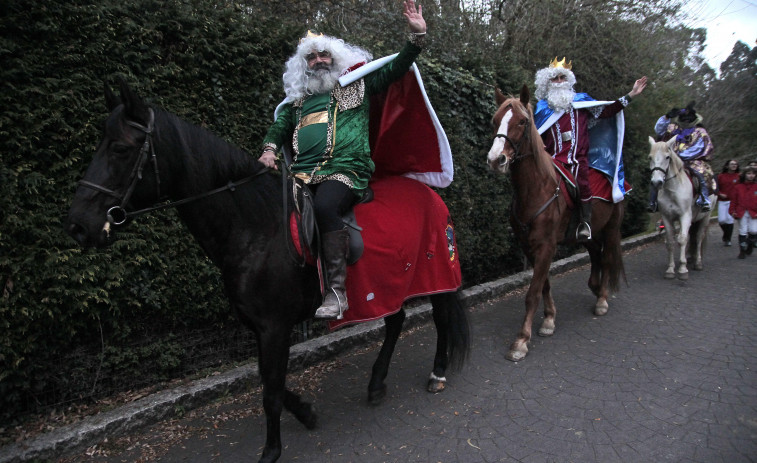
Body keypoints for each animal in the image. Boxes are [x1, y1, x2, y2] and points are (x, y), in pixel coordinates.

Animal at [66, 80, 466, 463]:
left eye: (120, 148)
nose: (80, 225)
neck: (255, 227)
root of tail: (429, 193)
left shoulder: (275, 326)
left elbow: (270, 390)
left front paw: (271, 450)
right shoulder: (259, 326)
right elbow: (267, 379)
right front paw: (305, 412)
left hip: (435, 273)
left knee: (441, 318)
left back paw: (437, 373)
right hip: (387, 286)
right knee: (395, 322)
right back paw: (377, 383)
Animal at [488, 86, 624, 362]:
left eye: (522, 121)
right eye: (495, 121)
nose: (496, 160)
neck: (536, 189)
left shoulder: (546, 246)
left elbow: (532, 293)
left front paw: (521, 340)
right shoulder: (531, 246)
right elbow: (544, 285)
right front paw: (549, 320)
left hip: (611, 228)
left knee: (606, 258)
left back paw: (602, 300)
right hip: (590, 234)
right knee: (596, 254)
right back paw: (595, 288)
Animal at [648, 137, 716, 280]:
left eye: (667, 157)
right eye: (650, 157)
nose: (657, 182)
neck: (672, 190)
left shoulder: (685, 216)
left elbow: (682, 239)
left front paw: (683, 269)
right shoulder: (667, 218)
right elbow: (670, 242)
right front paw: (670, 269)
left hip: (706, 216)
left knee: (699, 237)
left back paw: (698, 262)